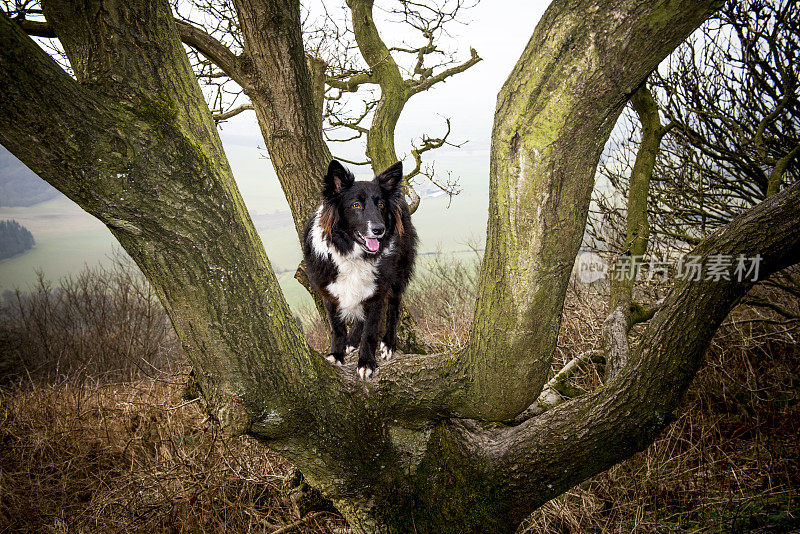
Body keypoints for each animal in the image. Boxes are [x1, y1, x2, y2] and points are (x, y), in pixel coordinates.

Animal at [304, 160, 418, 382]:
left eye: (381, 205)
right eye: (356, 205)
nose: (379, 230)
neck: (353, 255)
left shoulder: (377, 294)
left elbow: (370, 332)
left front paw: (366, 363)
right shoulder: (329, 292)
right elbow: (337, 327)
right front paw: (337, 354)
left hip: (398, 276)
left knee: (393, 308)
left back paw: (388, 344)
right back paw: (351, 341)